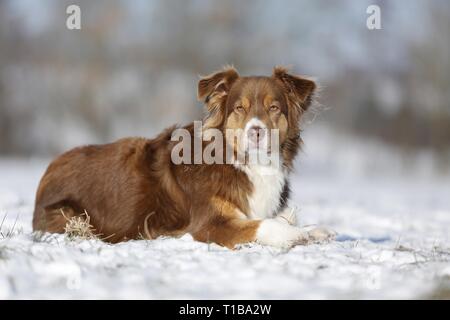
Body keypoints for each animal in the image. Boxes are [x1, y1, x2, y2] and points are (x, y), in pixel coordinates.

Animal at [32, 66, 334, 249]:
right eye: (239, 108)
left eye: (274, 108)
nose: (256, 131)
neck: (241, 162)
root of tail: (49, 168)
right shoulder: (210, 224)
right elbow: (265, 225)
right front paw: (296, 234)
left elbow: (281, 217)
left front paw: (316, 229)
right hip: (71, 215)